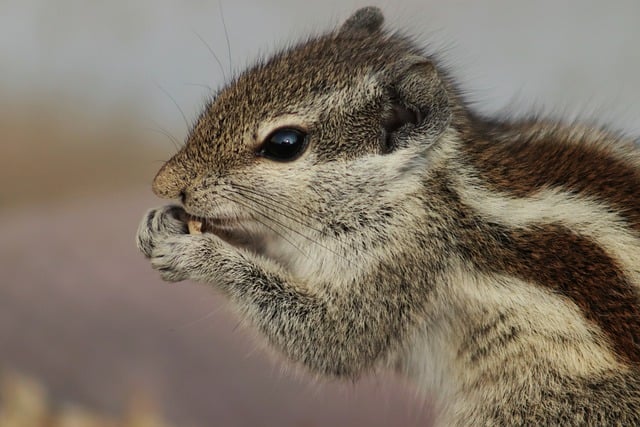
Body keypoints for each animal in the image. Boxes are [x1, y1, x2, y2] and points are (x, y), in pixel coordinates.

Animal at [136, 5, 640, 424]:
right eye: (227, 93)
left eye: (285, 144)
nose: (163, 182)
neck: (415, 186)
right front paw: (160, 223)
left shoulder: (403, 259)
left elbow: (334, 339)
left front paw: (198, 253)